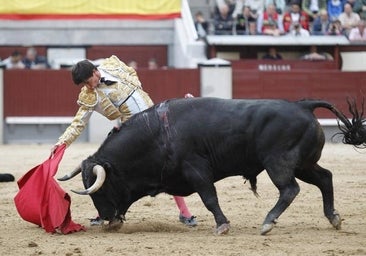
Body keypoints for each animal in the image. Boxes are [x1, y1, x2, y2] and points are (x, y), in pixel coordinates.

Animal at [59, 97, 366, 235]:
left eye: (100, 188)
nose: (106, 220)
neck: (158, 134)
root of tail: (303, 105)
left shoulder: (197, 170)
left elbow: (210, 198)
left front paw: (222, 225)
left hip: (278, 163)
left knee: (290, 189)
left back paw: (267, 222)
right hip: (304, 163)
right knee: (325, 178)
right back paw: (333, 218)